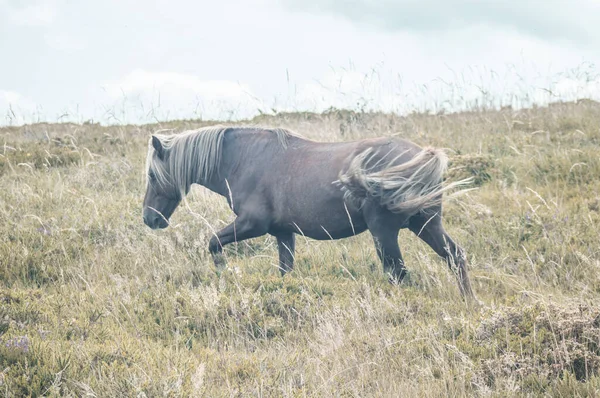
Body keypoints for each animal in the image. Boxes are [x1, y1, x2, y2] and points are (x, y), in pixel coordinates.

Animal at [143, 126, 476, 300]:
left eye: (151, 174)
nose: (149, 219)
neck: (243, 160)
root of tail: (421, 156)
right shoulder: (282, 232)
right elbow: (284, 271)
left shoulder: (252, 224)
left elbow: (213, 242)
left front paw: (224, 275)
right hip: (426, 224)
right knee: (455, 256)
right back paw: (468, 300)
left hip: (386, 233)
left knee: (398, 273)